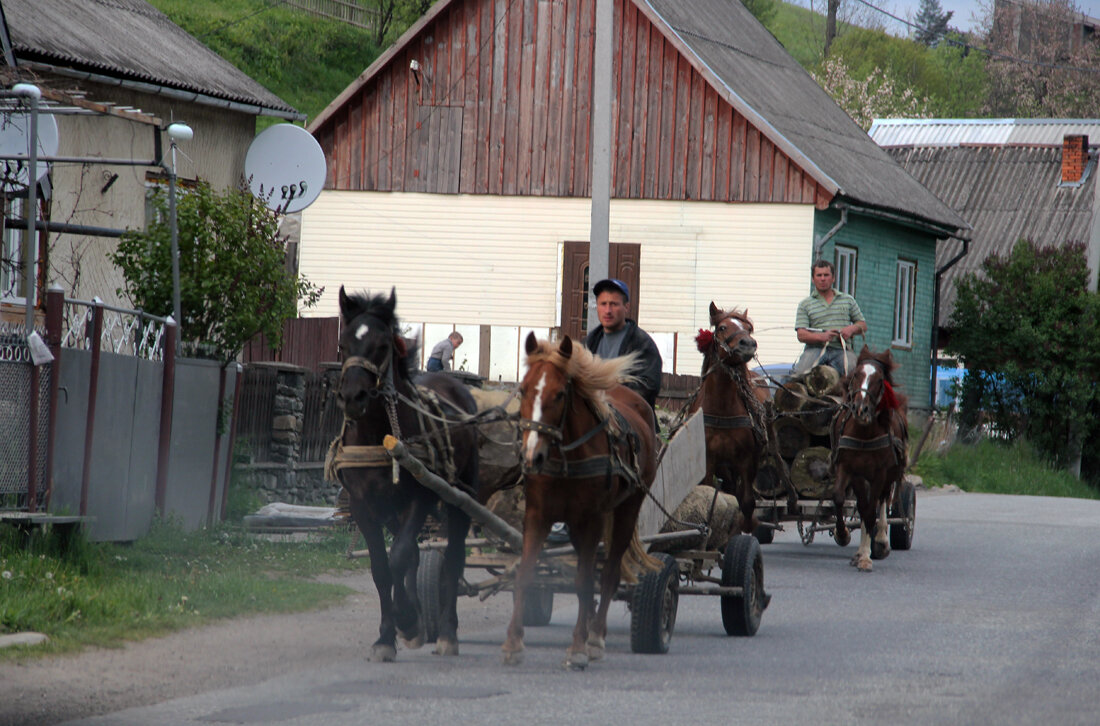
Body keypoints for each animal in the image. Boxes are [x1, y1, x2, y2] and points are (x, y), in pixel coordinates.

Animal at [327, 286, 479, 660]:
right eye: (343, 344)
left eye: (382, 346)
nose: (352, 397)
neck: (378, 435)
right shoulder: (362, 506)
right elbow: (382, 568)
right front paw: (388, 635)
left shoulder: (419, 499)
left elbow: (398, 558)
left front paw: (407, 619)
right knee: (414, 554)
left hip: (461, 497)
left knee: (453, 558)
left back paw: (447, 633)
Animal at [506, 334, 660, 668]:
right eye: (523, 389)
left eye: (560, 394)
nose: (532, 456)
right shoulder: (538, 516)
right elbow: (525, 574)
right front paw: (514, 642)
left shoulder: (592, 520)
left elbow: (585, 582)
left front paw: (578, 646)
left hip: (626, 510)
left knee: (610, 573)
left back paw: (595, 635)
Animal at [686, 301, 774, 532]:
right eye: (722, 327)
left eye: (749, 329)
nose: (748, 344)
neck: (722, 408)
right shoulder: (709, 462)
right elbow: (712, 496)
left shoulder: (746, 461)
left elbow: (747, 503)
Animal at [827, 345, 906, 572]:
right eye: (855, 375)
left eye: (879, 380)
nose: (860, 409)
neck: (863, 433)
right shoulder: (849, 469)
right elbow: (841, 498)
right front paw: (842, 534)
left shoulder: (879, 473)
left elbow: (871, 511)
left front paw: (866, 556)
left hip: (889, 475)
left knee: (882, 500)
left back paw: (880, 541)